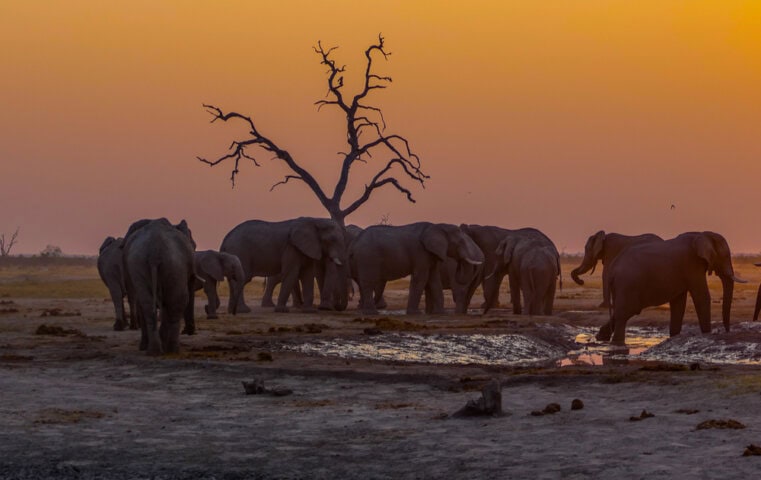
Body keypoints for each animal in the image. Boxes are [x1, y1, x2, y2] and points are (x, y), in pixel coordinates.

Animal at [122, 218, 197, 355]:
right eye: (194, 246)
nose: (190, 332)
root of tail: (154, 252)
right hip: (174, 265)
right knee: (177, 301)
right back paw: (170, 350)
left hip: (144, 265)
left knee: (148, 304)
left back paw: (155, 350)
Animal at [220, 217, 349, 313]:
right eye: (332, 240)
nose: (337, 307)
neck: (315, 220)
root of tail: (225, 239)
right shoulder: (291, 247)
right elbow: (292, 273)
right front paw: (282, 310)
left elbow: (307, 275)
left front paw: (310, 311)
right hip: (240, 252)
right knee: (241, 279)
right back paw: (243, 310)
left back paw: (232, 310)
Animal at [350, 222, 484, 315]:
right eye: (460, 242)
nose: (460, 263)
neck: (437, 226)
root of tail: (355, 242)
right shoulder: (420, 252)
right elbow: (421, 278)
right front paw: (415, 313)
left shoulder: (431, 255)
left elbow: (434, 280)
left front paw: (441, 313)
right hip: (367, 257)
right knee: (368, 283)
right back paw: (371, 313)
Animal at [599, 231, 746, 345]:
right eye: (726, 256)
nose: (726, 331)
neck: (703, 234)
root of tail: (613, 269)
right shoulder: (692, 264)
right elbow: (702, 297)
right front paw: (707, 334)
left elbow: (678, 302)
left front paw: (674, 337)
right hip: (627, 284)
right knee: (624, 314)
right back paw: (617, 343)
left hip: (621, 286)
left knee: (623, 311)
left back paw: (601, 337)